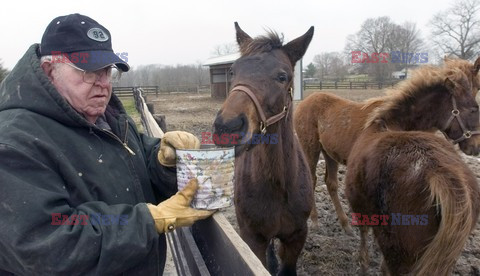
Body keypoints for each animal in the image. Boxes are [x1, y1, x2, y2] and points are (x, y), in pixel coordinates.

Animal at [214, 22, 316, 274]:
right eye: (233, 71)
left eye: (282, 76)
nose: (227, 127)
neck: (280, 185)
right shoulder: (253, 240)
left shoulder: (296, 237)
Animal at [292, 57, 480, 234]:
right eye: (473, 109)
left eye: (476, 87)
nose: (476, 146)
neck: (393, 121)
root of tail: (305, 102)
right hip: (310, 149)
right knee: (312, 179)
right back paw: (315, 221)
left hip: (329, 153)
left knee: (331, 183)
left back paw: (345, 225)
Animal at [344, 66, 480, 274]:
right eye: (473, 109)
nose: (477, 146)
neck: (387, 124)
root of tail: (440, 173)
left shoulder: (359, 204)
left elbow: (363, 233)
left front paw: (364, 263)